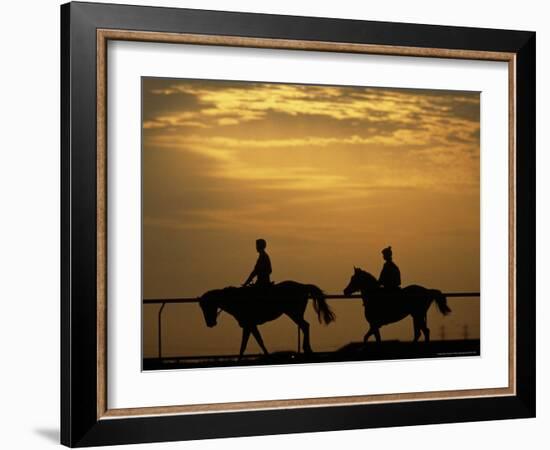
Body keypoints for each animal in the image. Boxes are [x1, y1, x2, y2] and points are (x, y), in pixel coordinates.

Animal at [199, 282, 336, 358]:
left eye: (207, 306)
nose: (210, 323)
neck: (237, 300)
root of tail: (303, 286)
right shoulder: (249, 326)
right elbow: (251, 343)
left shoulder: (249, 325)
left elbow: (253, 343)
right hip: (295, 314)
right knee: (304, 326)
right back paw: (307, 349)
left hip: (293, 313)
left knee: (305, 326)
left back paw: (307, 349)